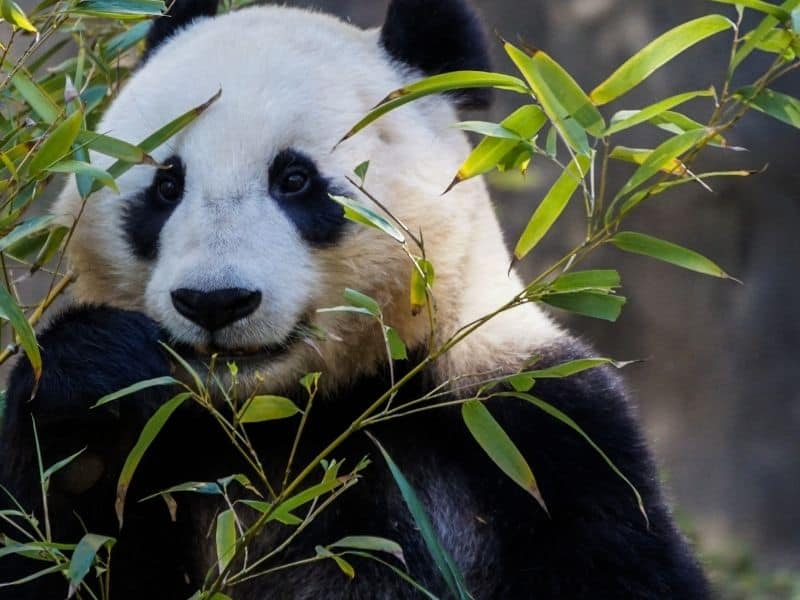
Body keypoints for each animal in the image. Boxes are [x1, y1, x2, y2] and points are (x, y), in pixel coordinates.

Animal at [0, 1, 708, 600]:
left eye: (294, 180)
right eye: (166, 186)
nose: (215, 301)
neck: (284, 418)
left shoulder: (530, 426)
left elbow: (618, 557)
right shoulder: (169, 459)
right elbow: (49, 545)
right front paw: (94, 385)